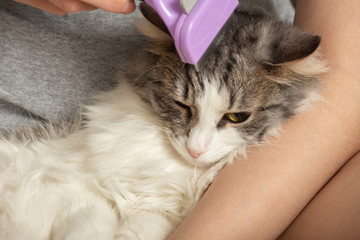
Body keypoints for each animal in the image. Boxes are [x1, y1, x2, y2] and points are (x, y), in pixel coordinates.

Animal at [0, 2, 326, 240]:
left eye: (237, 117)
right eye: (182, 105)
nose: (195, 150)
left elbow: (139, 227)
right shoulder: (71, 182)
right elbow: (88, 223)